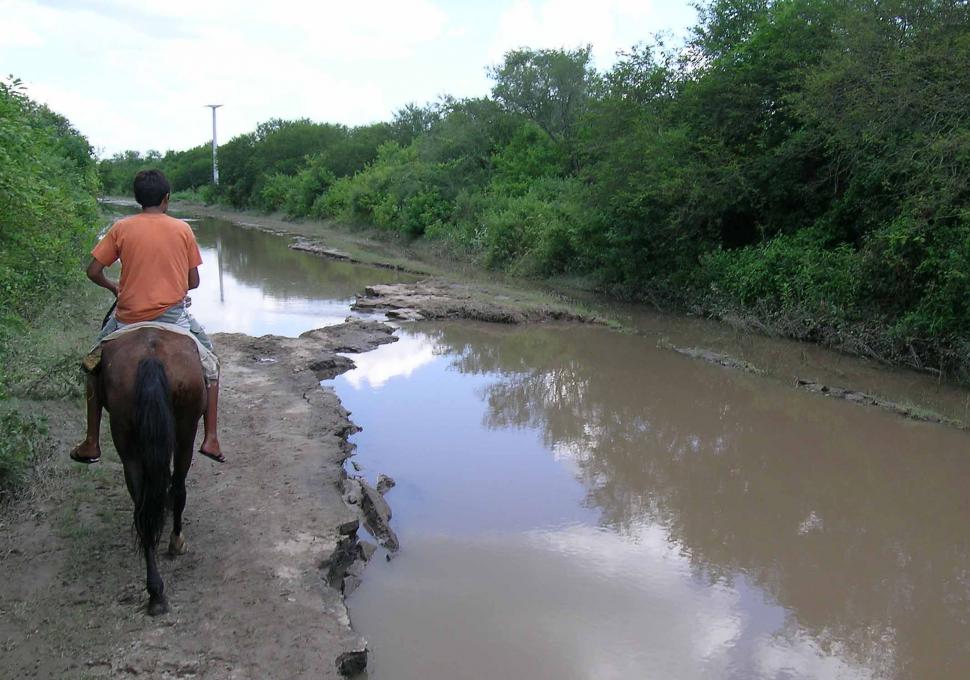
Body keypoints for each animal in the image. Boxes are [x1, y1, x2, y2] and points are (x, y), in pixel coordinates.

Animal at [98, 326, 206, 612]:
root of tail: (150, 354)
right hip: (183, 429)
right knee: (168, 493)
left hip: (130, 439)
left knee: (148, 505)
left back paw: (157, 586)